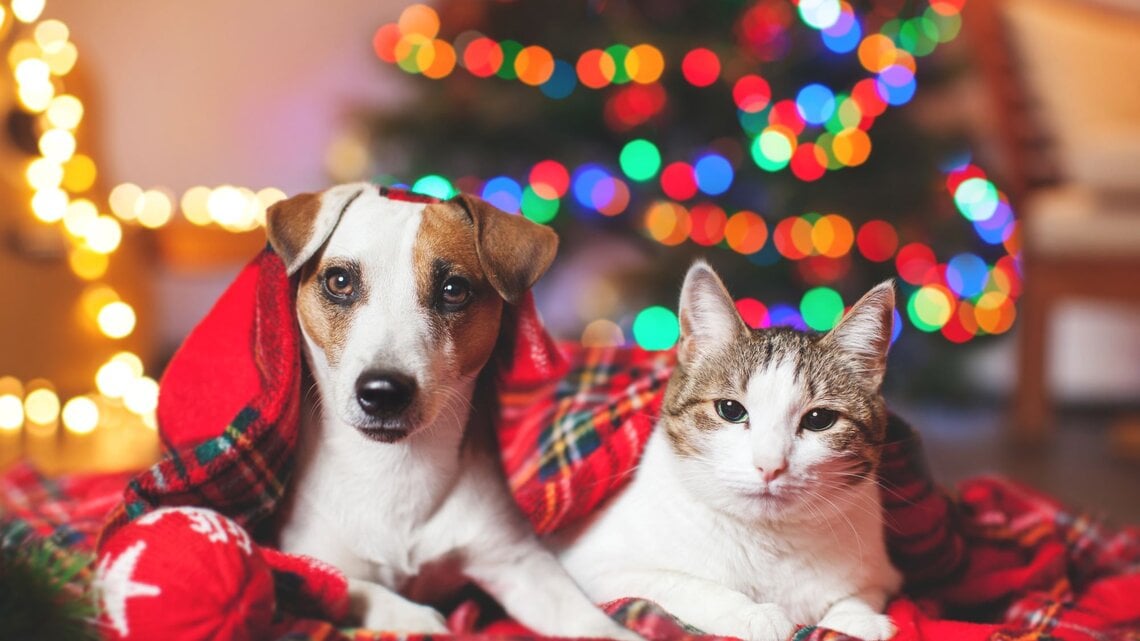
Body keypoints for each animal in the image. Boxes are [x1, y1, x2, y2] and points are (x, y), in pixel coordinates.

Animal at [269, 182, 642, 634]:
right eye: (339, 281)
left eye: (453, 290)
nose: (383, 391)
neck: (394, 469)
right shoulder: (307, 560)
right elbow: (350, 587)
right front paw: (417, 618)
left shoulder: (518, 562)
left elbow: (585, 618)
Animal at [556, 262, 902, 638]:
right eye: (731, 410)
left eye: (819, 419)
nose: (770, 465)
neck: (768, 543)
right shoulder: (594, 568)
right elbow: (681, 584)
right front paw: (753, 614)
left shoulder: (882, 574)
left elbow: (859, 595)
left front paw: (856, 619)